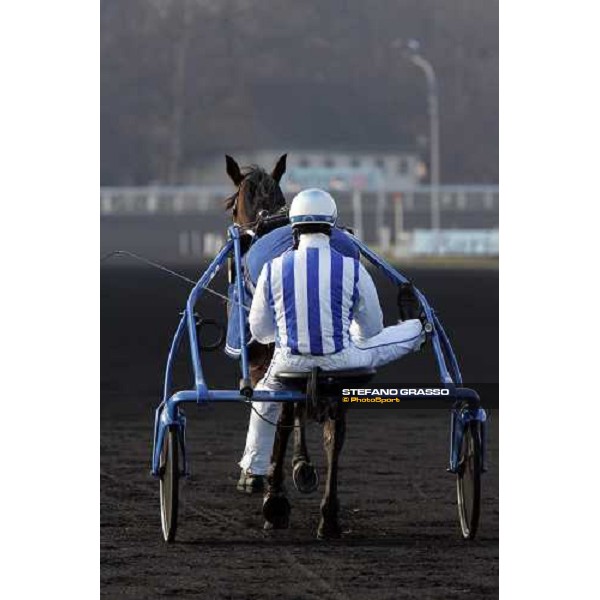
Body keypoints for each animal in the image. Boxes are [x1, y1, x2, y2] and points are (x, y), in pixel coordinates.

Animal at [224, 155, 350, 540]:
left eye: (230, 204)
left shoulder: (259, 359)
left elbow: (276, 410)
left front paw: (257, 476)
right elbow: (298, 410)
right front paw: (303, 466)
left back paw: (275, 502)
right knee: (335, 431)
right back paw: (329, 515)